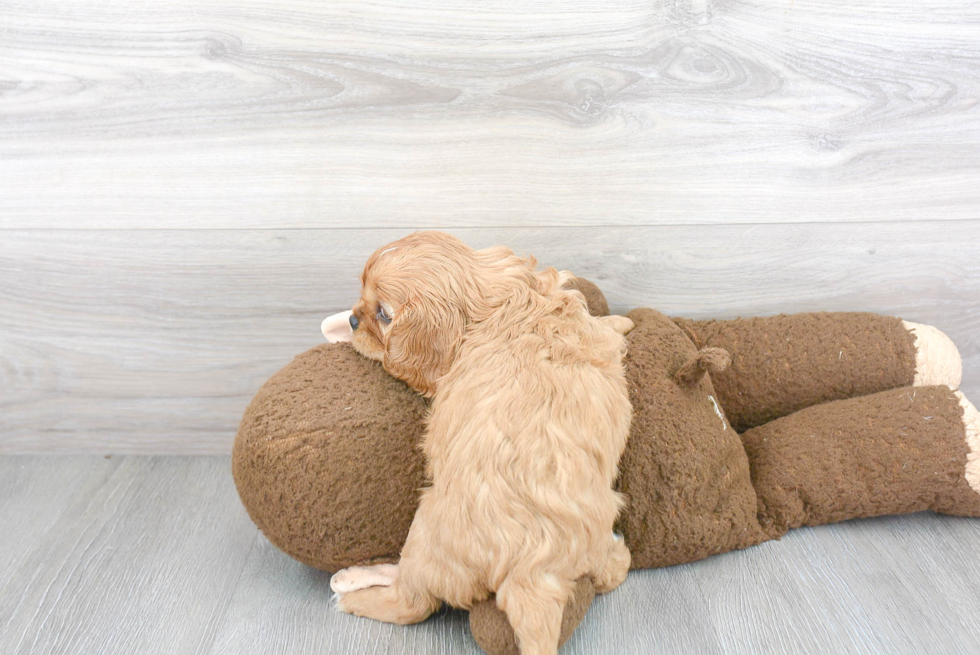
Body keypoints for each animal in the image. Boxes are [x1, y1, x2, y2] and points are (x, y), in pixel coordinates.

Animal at [336, 232, 636, 655]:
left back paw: (356, 590)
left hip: (425, 533)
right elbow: (603, 328)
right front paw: (623, 320)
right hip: (596, 538)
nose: (351, 318)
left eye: (383, 314)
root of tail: (531, 572)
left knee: (410, 602)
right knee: (610, 573)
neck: (500, 297)